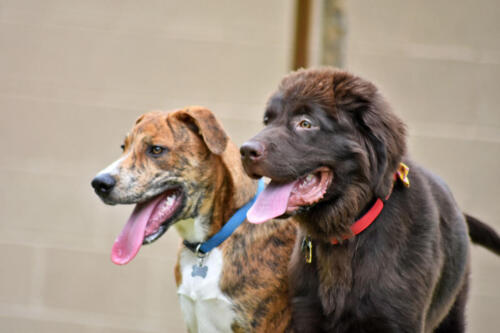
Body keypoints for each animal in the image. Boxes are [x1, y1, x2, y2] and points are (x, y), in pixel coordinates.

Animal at [241, 68, 500, 332]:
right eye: (267, 120)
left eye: (306, 123)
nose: (246, 151)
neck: (344, 237)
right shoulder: (306, 314)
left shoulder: (397, 319)